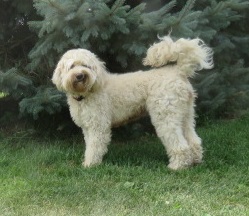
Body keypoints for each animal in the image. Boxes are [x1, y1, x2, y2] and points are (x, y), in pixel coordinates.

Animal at [51, 35, 213, 170]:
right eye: (72, 66)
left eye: (86, 66)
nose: (80, 75)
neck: (89, 91)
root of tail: (178, 71)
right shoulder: (87, 127)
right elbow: (89, 144)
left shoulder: (99, 126)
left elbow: (94, 147)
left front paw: (90, 165)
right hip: (185, 114)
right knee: (194, 140)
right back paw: (195, 161)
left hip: (166, 117)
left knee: (179, 144)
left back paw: (177, 166)